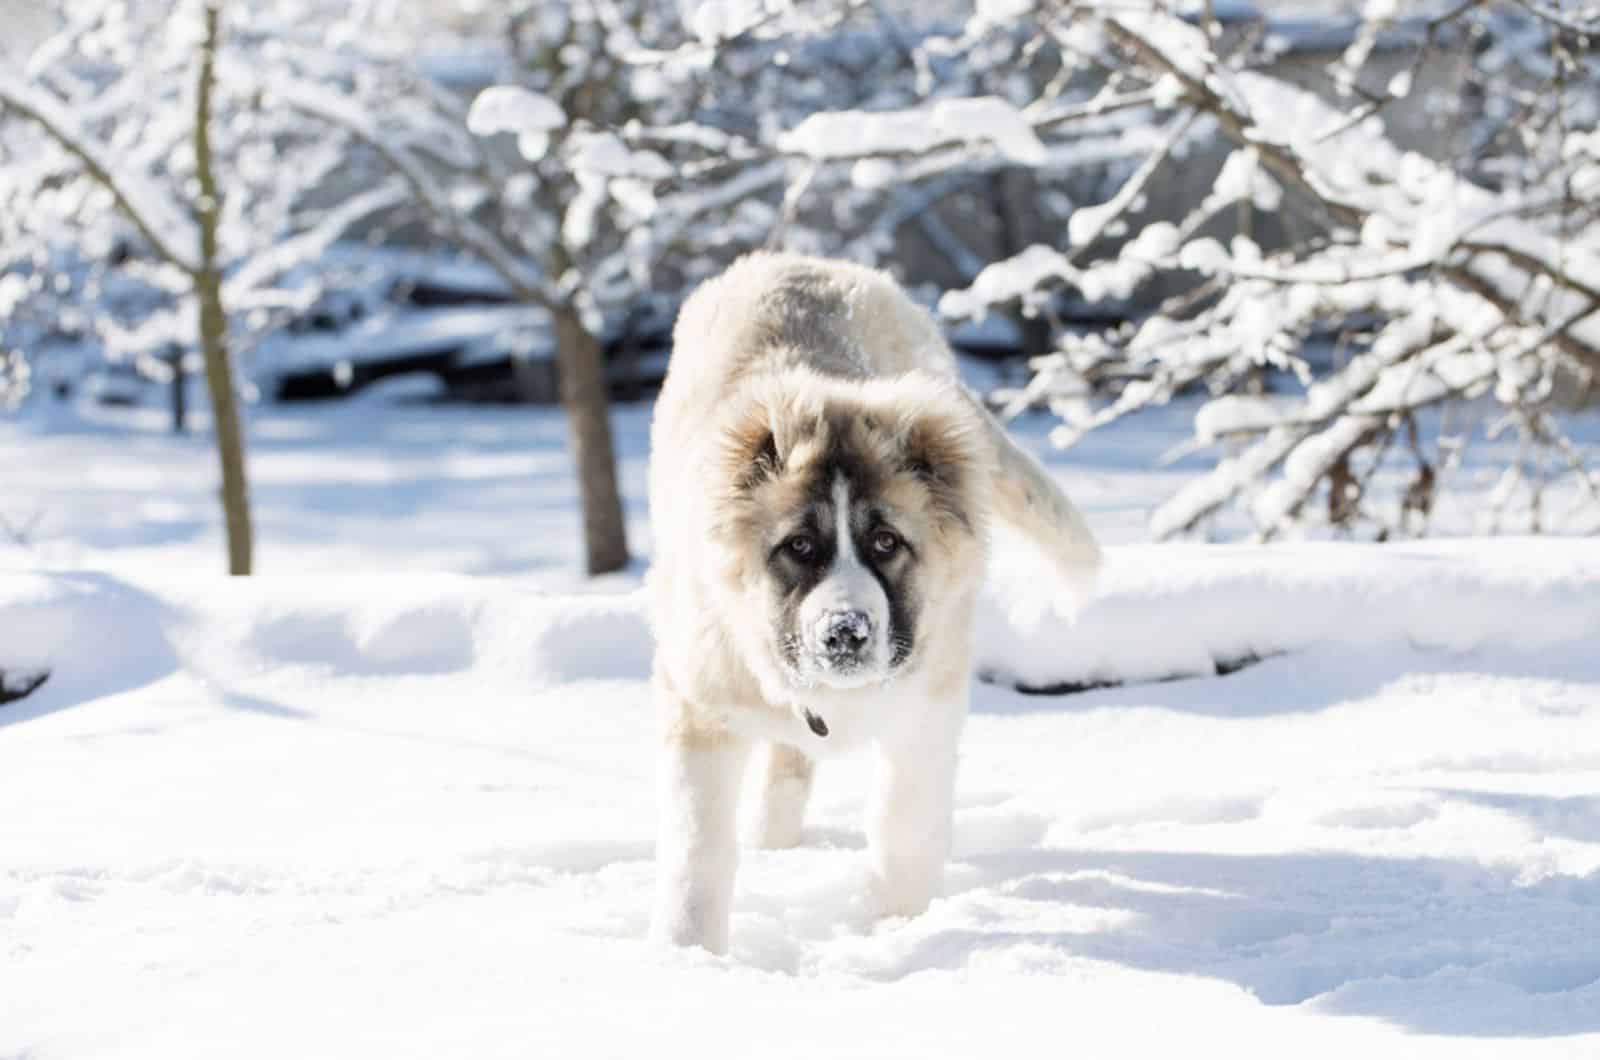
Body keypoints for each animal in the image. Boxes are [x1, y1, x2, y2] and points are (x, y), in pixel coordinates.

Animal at [643, 251, 1094, 954]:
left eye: (886, 542)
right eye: (799, 545)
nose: (845, 632)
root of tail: (806, 261)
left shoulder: (927, 709)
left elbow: (903, 827)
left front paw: (894, 932)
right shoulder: (701, 706)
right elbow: (699, 850)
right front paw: (689, 954)